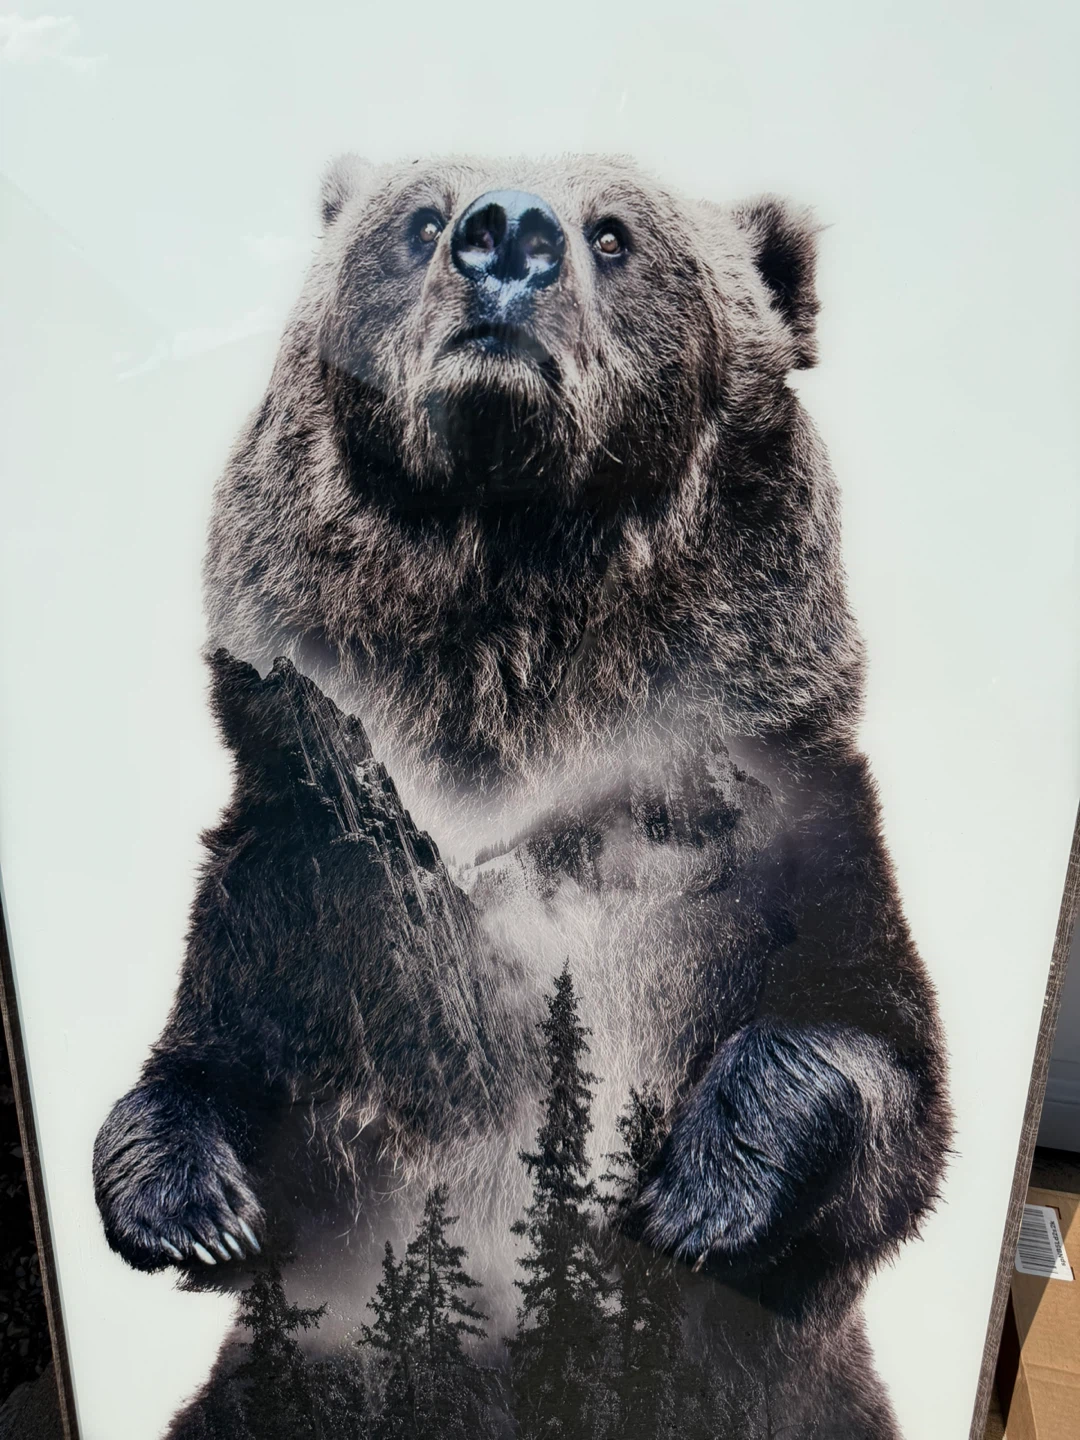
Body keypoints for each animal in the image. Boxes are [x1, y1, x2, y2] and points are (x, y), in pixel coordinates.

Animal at [93, 154, 951, 1439]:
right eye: (418, 220)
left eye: (617, 233)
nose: (506, 234)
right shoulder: (309, 872)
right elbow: (214, 1060)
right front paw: (193, 1206)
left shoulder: (778, 843)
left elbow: (873, 1063)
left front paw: (696, 1196)